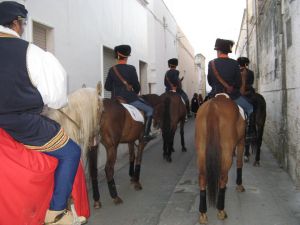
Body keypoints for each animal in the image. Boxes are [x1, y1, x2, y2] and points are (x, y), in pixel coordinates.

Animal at [195, 94, 246, 224]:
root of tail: (213, 106)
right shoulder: (241, 142)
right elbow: (240, 163)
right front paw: (239, 185)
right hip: (227, 152)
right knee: (223, 177)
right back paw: (221, 210)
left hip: (201, 151)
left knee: (202, 178)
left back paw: (203, 213)